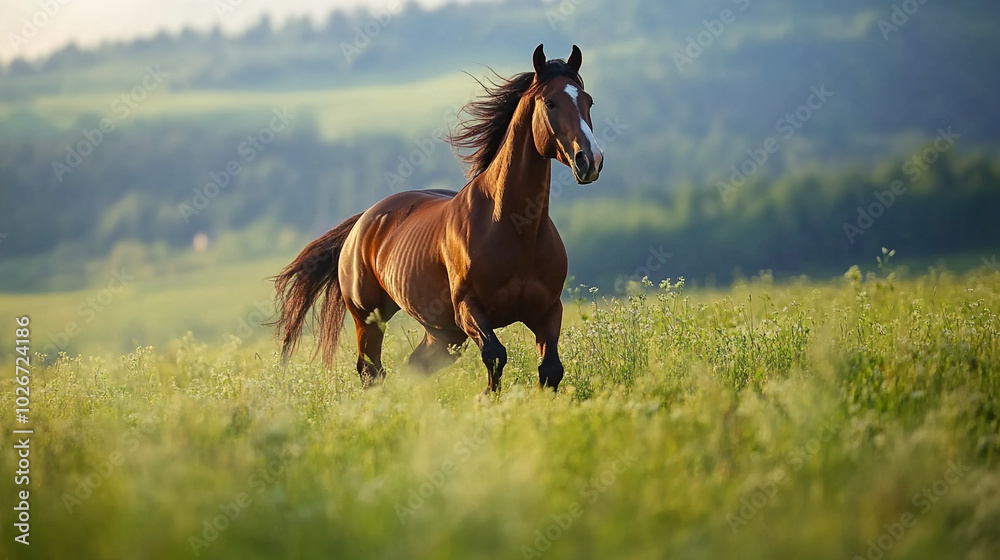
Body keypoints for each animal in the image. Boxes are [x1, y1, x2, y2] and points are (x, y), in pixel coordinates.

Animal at [274, 44, 604, 394]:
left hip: (442, 333)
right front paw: (485, 398)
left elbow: (551, 370)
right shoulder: (468, 309)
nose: (590, 160)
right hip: (370, 318)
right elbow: (496, 355)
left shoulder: (547, 310)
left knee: (414, 366)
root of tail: (362, 223)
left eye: (588, 101)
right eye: (550, 102)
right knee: (371, 370)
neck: (516, 228)